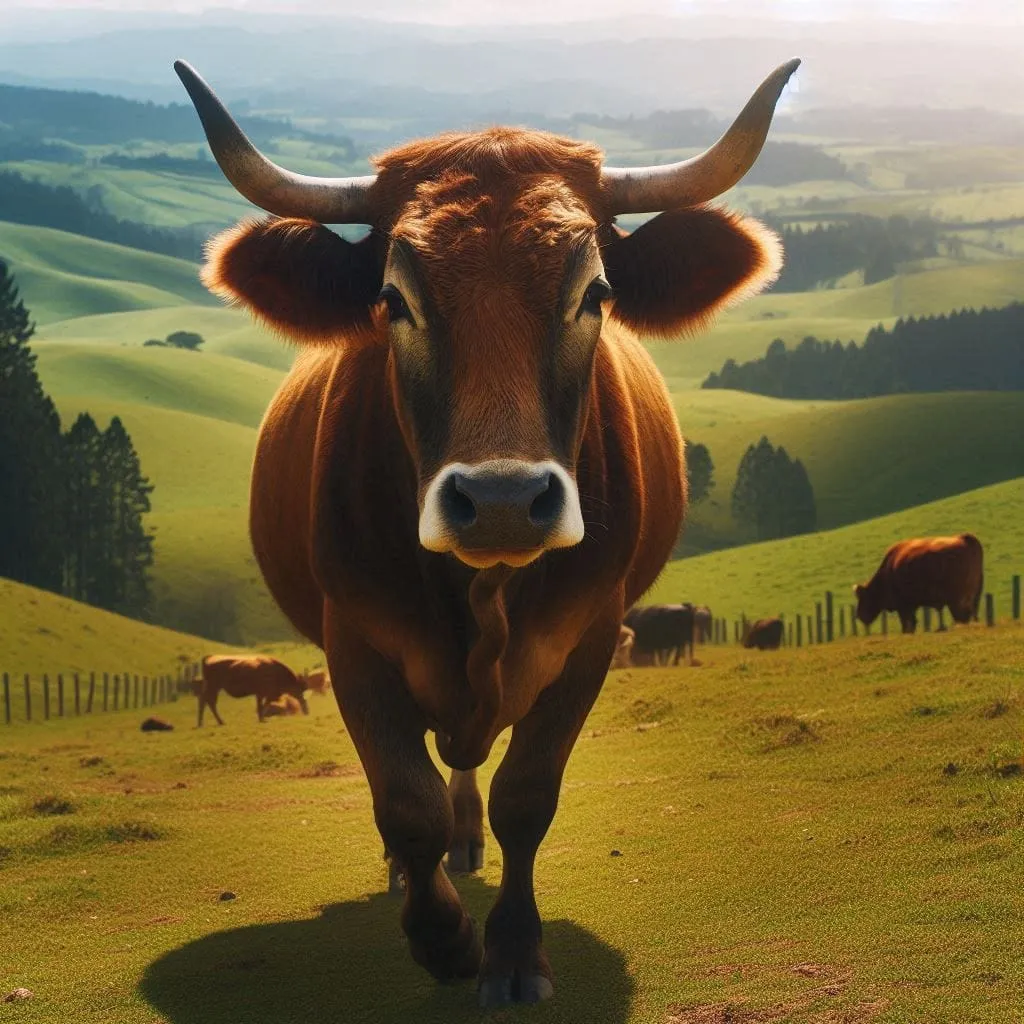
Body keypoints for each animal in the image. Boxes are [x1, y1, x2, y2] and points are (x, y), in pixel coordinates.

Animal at [175, 55, 796, 1006]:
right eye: (393, 299)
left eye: (595, 294)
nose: (503, 499)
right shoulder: (353, 638)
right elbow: (406, 801)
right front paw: (441, 939)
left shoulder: (590, 633)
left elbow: (525, 797)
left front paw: (511, 954)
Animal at [854, 533, 984, 634]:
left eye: (863, 597)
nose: (859, 615)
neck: (888, 569)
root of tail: (964, 538)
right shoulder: (911, 605)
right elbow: (912, 623)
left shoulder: (903, 606)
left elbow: (907, 624)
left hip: (957, 601)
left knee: (963, 617)